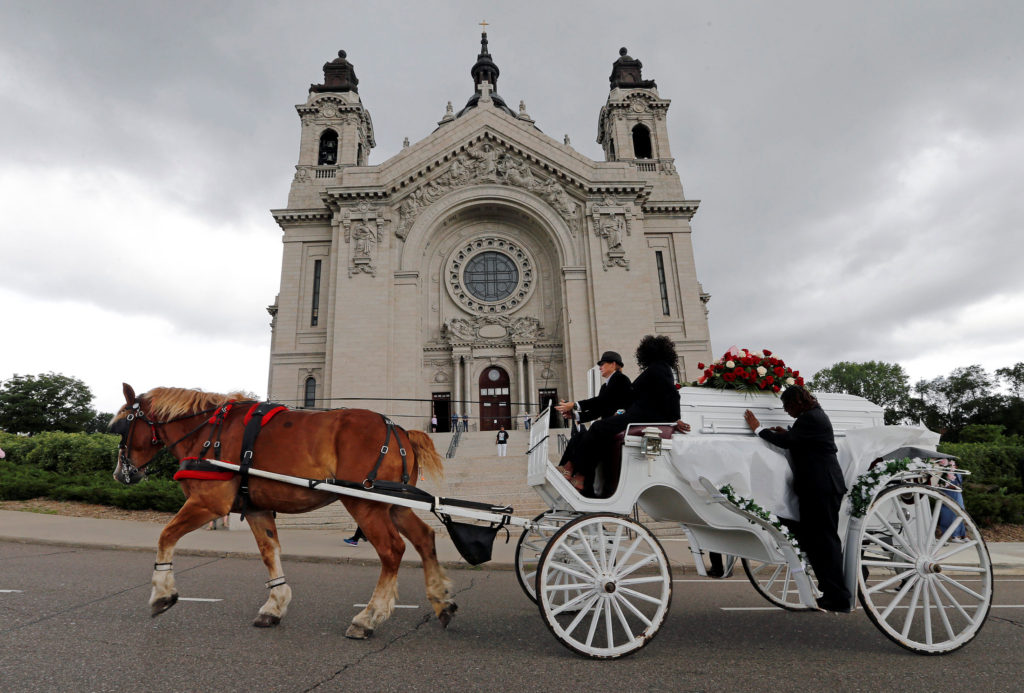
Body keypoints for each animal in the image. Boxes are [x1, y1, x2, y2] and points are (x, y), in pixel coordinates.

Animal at [109, 382, 456, 638]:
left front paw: (162, 594)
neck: (209, 433)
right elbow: (269, 552)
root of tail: (399, 429)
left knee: (392, 550)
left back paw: (368, 617)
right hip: (394, 504)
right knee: (424, 538)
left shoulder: (208, 502)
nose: (120, 473)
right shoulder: (257, 509)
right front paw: (274, 605)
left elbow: (166, 536)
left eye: (121, 428)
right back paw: (442, 600)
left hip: (365, 503)